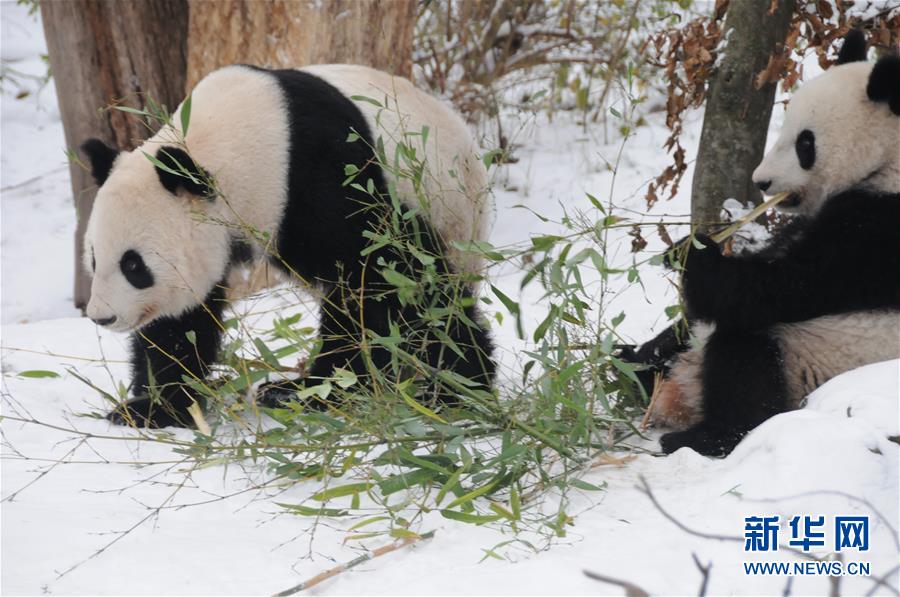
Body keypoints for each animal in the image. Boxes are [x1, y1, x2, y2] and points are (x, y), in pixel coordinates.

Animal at [81, 64, 496, 428]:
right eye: (95, 259)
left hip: (449, 216)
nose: (102, 317)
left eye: (133, 266)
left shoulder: (322, 174)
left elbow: (382, 277)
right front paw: (153, 408)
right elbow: (180, 324)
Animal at [632, 32, 900, 456]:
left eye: (805, 144)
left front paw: (694, 251)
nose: (762, 181)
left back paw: (705, 436)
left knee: (745, 351)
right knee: (682, 335)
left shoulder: (877, 231)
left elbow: (778, 289)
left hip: (813, 357)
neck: (889, 165)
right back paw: (628, 364)